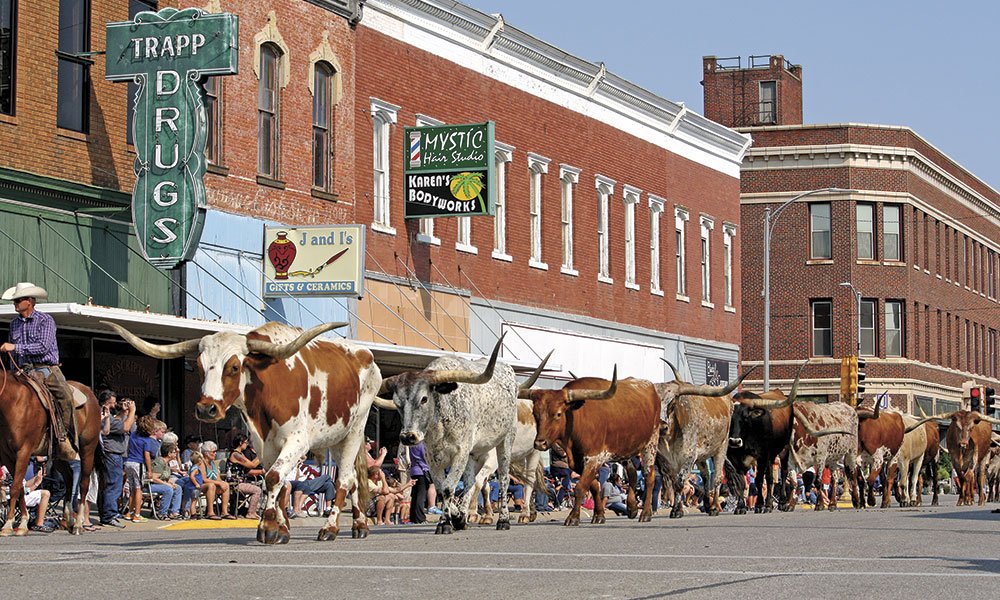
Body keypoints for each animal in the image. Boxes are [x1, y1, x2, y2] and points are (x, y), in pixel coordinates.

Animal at [0, 368, 101, 536]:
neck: (13, 402)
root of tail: (90, 393)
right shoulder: (7, 456)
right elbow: (20, 487)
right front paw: (23, 523)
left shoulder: (23, 452)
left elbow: (14, 487)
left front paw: (8, 525)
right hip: (59, 456)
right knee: (69, 479)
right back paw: (69, 520)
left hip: (88, 449)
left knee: (83, 484)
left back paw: (78, 524)